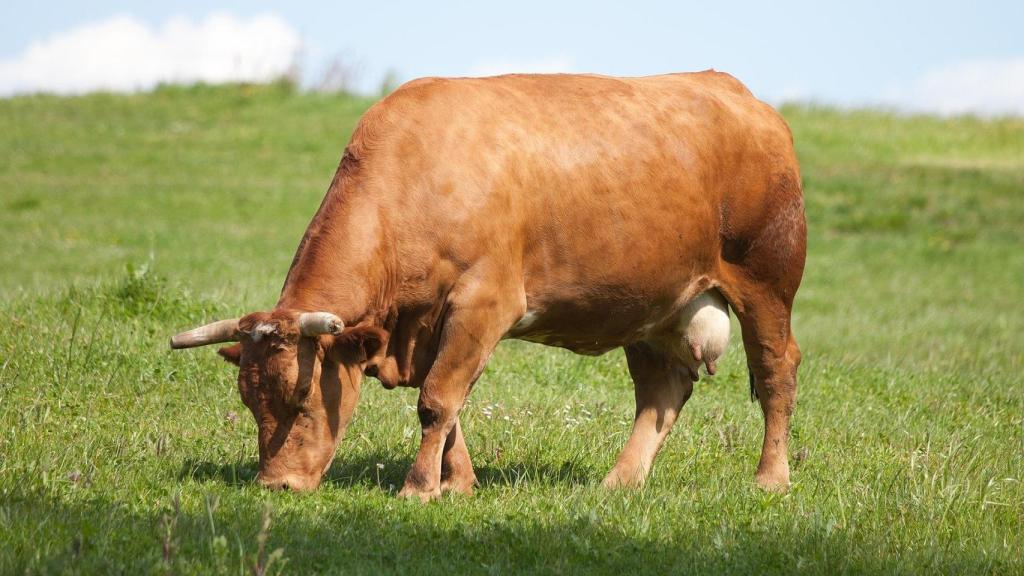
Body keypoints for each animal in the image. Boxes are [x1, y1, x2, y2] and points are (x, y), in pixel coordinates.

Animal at [169, 71, 806, 498]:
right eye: (249, 401)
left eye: (302, 400)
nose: (274, 485)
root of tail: (738, 93)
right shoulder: (427, 324)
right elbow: (448, 405)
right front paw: (459, 484)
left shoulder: (485, 302)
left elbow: (436, 399)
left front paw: (419, 487)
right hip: (652, 305)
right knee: (661, 392)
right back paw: (618, 483)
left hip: (766, 283)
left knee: (776, 371)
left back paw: (770, 479)